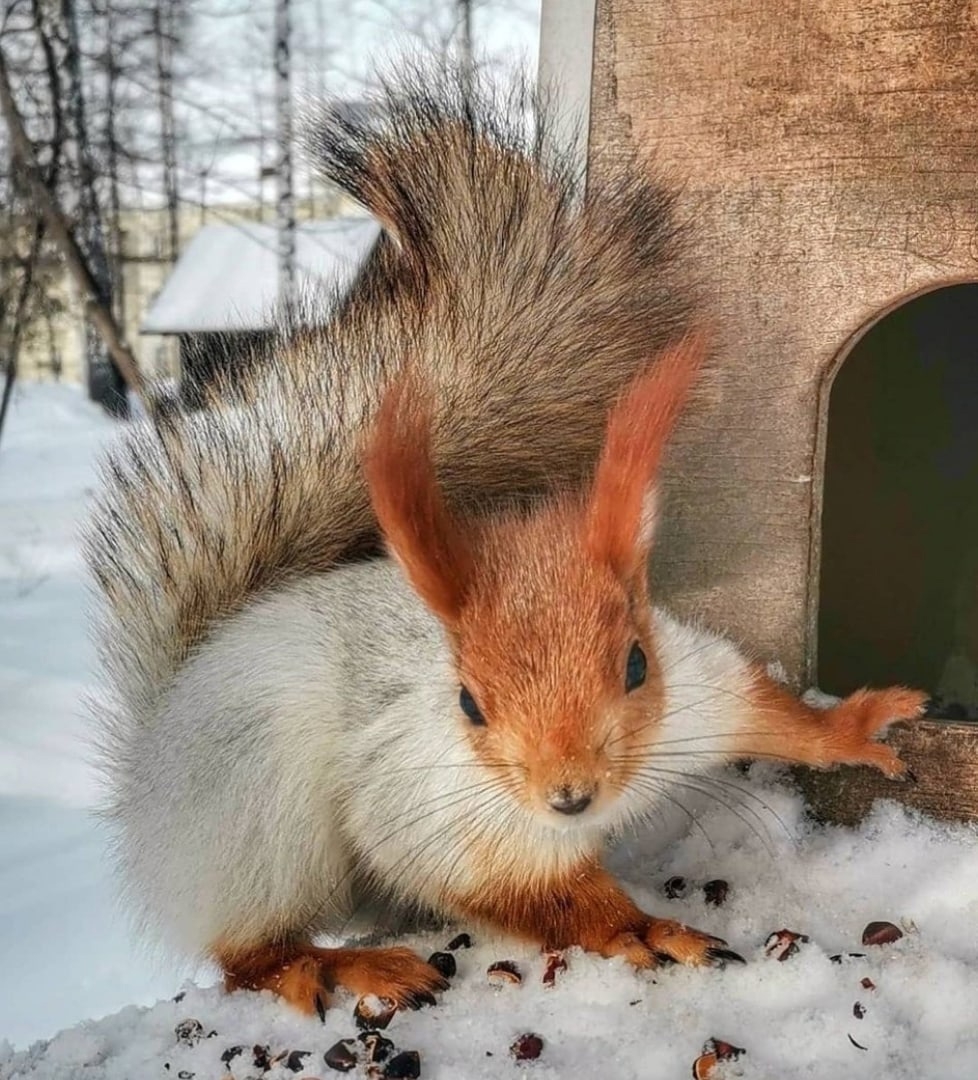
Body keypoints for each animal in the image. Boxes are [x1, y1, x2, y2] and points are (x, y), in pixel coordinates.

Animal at [87, 65, 926, 1017]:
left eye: (635, 666)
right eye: (468, 704)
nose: (569, 795)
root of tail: (150, 766)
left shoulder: (699, 687)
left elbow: (768, 710)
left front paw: (853, 727)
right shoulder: (442, 809)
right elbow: (533, 893)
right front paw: (641, 929)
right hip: (254, 815)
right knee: (248, 950)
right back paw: (337, 965)